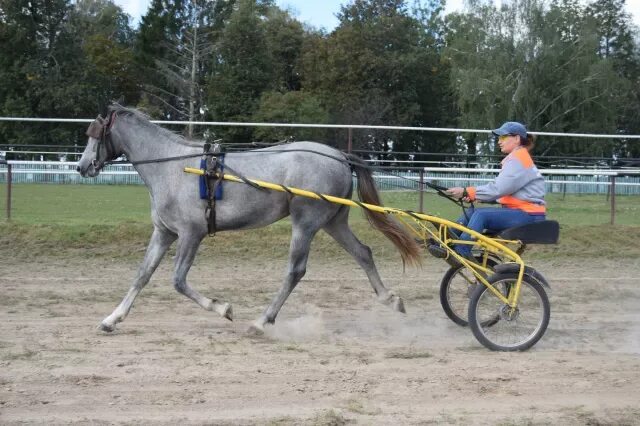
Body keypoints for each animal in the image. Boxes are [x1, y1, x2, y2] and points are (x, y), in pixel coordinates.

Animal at [77, 105, 422, 334]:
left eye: (95, 134)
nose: (82, 166)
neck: (173, 168)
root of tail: (338, 156)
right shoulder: (164, 232)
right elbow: (142, 274)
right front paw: (111, 319)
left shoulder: (191, 233)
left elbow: (178, 281)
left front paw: (223, 308)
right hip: (332, 222)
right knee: (363, 253)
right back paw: (390, 299)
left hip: (306, 223)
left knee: (295, 271)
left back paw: (262, 321)